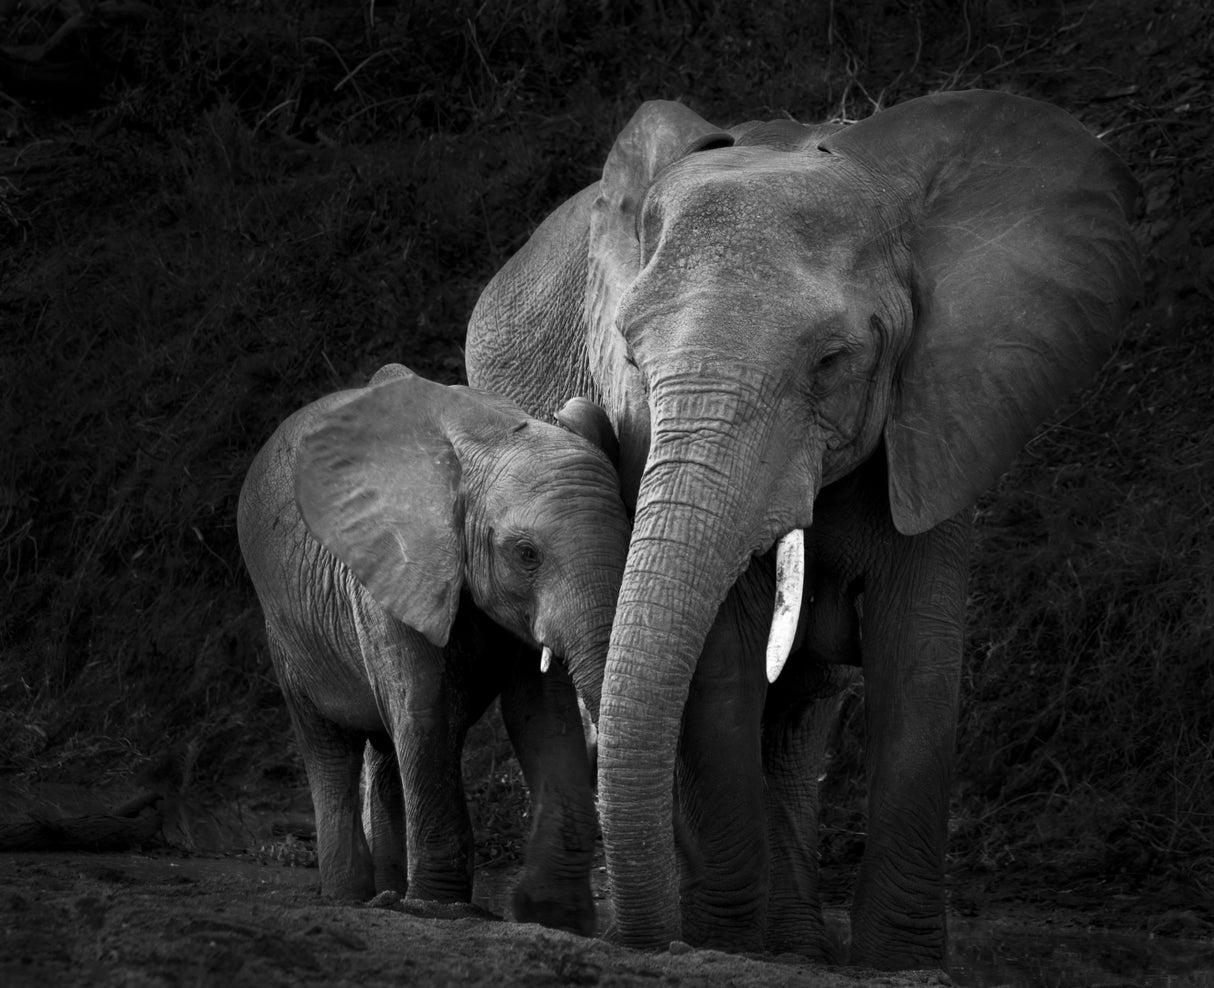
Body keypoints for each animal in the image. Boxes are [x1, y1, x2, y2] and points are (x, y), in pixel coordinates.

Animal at [236, 363, 631, 935]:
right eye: (526, 554)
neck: (482, 441)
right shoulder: (387, 563)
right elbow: (423, 707)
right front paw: (441, 909)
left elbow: (543, 715)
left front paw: (554, 917)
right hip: (285, 631)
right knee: (331, 747)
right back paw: (350, 898)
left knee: (384, 752)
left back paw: (387, 894)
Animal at [464, 90, 1141, 967]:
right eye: (631, 360)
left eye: (831, 362)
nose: (656, 942)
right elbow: (724, 653)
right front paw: (722, 942)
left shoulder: (943, 411)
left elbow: (918, 650)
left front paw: (900, 962)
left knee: (799, 714)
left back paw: (791, 943)